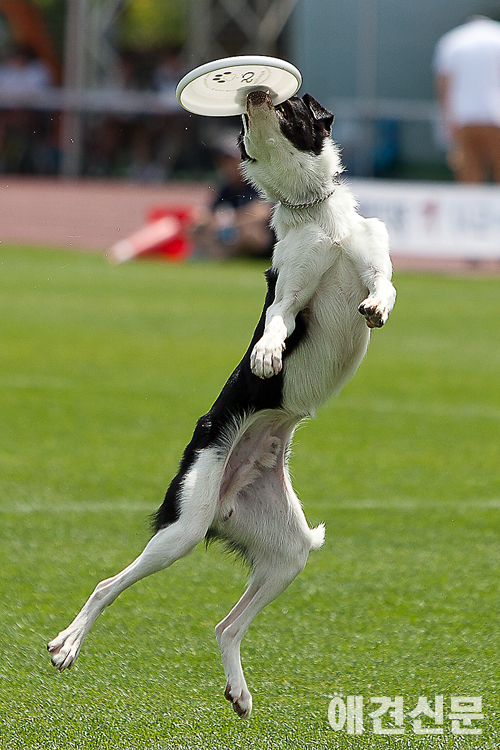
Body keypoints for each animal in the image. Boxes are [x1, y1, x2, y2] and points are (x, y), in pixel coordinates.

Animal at [48, 91, 396, 720]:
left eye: (289, 107)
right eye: (245, 124)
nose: (254, 96)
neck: (317, 219)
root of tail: (227, 494)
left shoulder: (374, 259)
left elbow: (384, 288)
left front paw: (375, 307)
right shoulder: (288, 292)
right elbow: (279, 322)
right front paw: (266, 355)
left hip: (288, 553)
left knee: (225, 626)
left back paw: (238, 690)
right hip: (183, 527)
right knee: (108, 585)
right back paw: (69, 644)